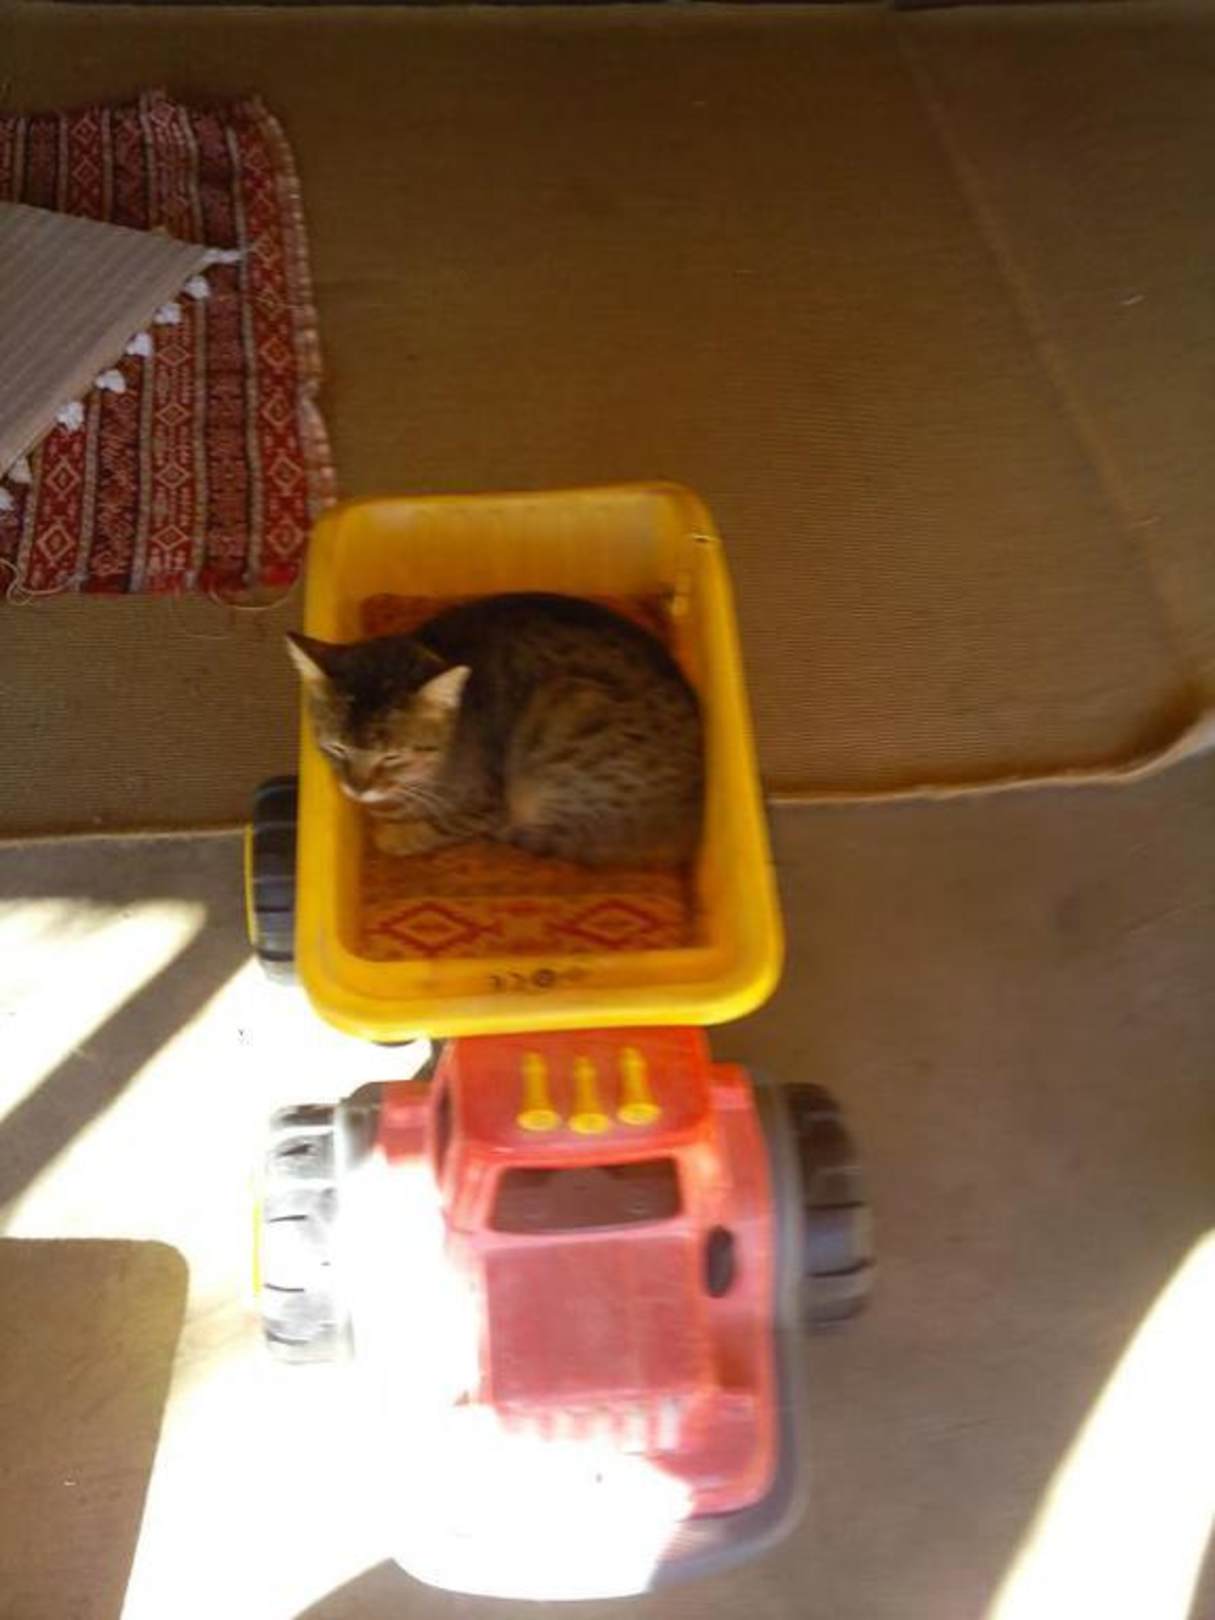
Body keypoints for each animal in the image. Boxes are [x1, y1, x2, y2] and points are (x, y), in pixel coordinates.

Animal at [287, 592, 703, 866]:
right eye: (336, 747)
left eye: (392, 756)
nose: (356, 788)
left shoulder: (485, 803)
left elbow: (439, 826)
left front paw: (394, 834)